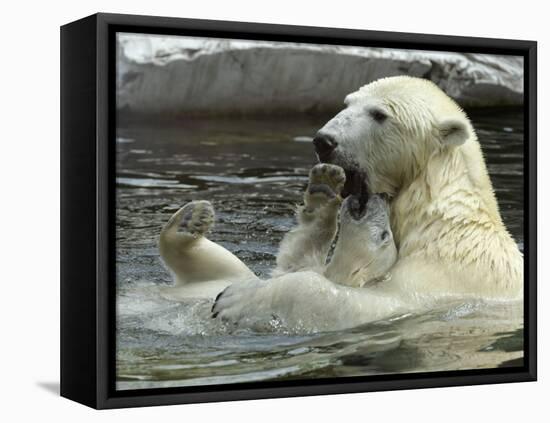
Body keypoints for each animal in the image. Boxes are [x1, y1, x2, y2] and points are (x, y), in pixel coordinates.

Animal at [212, 76, 528, 330]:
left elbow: (363, 303)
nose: (324, 141)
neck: (436, 215)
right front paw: (323, 191)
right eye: (347, 102)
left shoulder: (443, 277)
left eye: (379, 114)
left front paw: (235, 298)